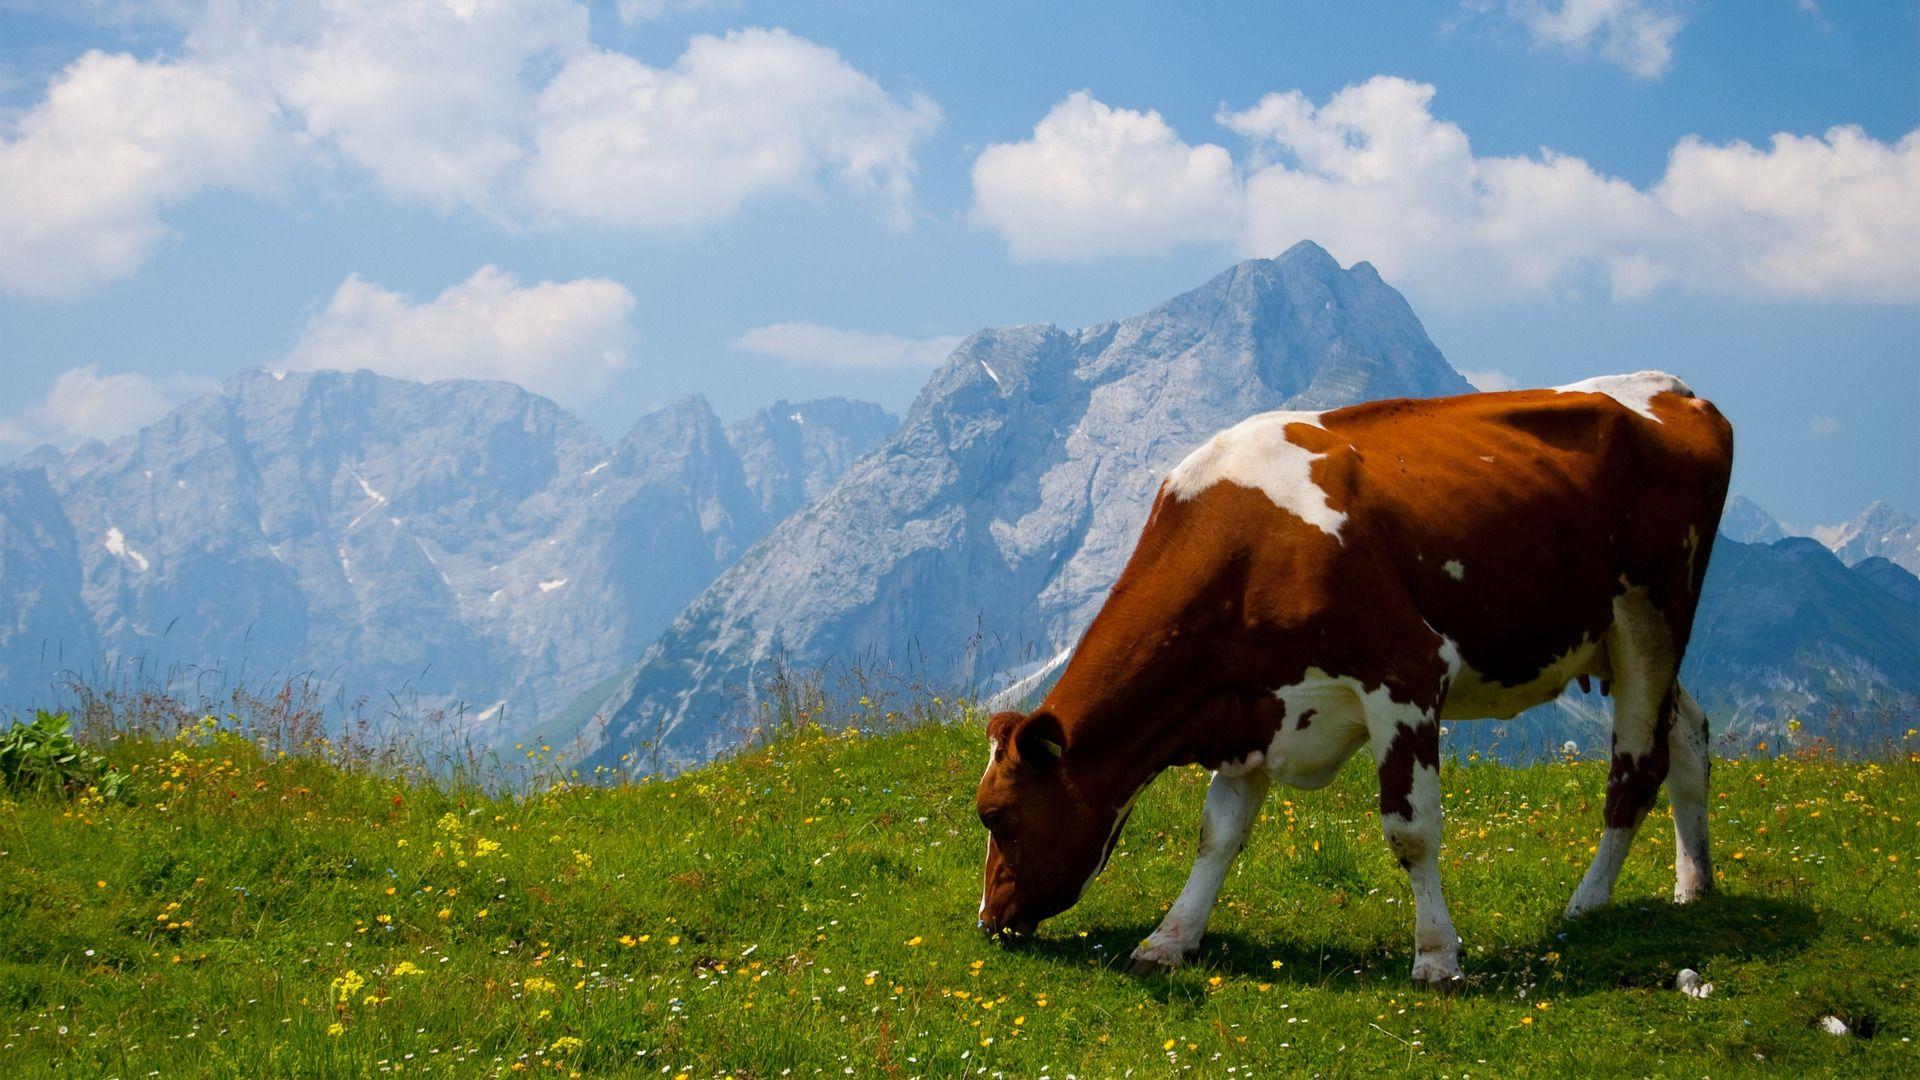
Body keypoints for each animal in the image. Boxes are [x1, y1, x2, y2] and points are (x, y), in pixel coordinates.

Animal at [975, 372, 1733, 986]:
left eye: (996, 815)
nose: (988, 920)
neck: (1247, 545)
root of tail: (1675, 389)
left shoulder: (1406, 674)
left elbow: (1411, 828)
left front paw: (1437, 957)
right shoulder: (1252, 704)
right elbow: (1217, 833)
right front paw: (1170, 940)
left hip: (1652, 621)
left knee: (1635, 769)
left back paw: (1588, 902)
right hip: (1613, 645)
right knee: (1689, 737)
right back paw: (1694, 884)